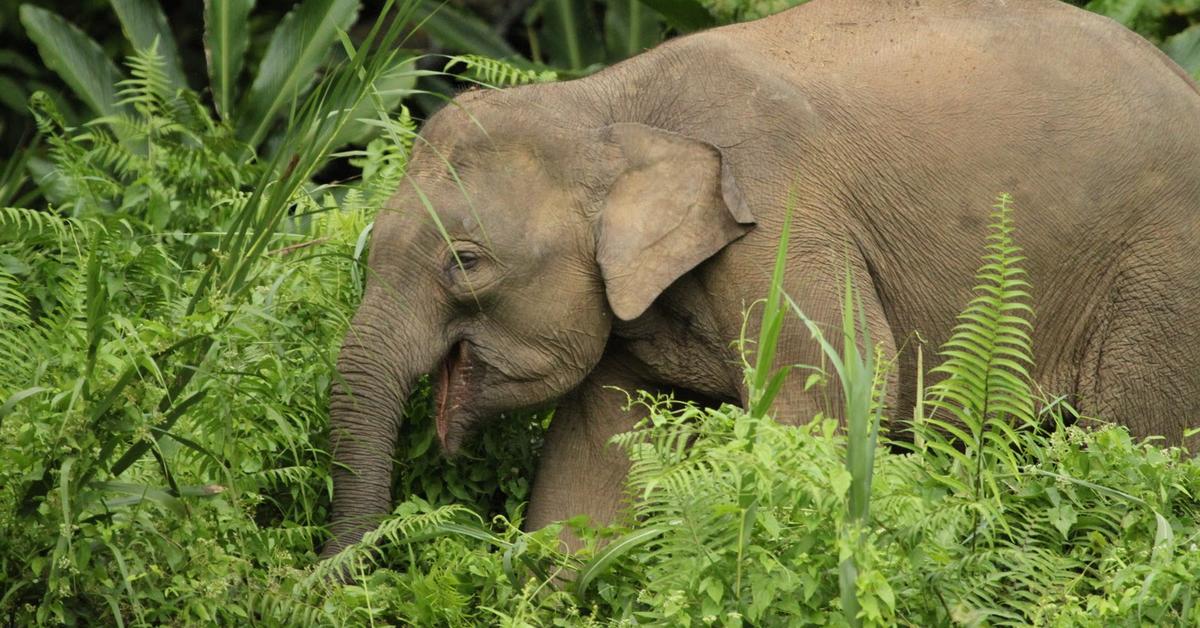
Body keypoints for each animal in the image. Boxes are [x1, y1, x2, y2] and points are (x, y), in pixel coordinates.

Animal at [316, 0, 1200, 559]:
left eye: (464, 263)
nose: (337, 580)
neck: (607, 100)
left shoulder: (780, 223)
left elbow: (837, 389)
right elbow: (596, 456)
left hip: (1162, 278)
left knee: (1141, 440)